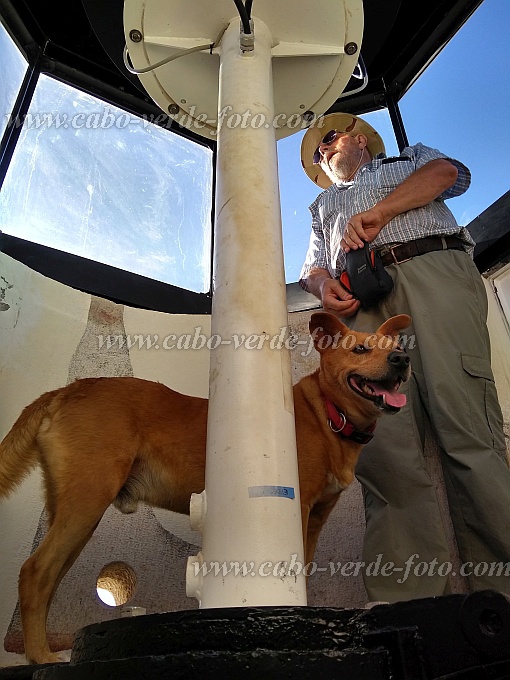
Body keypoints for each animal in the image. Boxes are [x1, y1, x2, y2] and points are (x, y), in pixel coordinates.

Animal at [0, 314, 410, 664]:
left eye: (394, 344)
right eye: (360, 349)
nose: (402, 359)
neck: (327, 413)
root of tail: (65, 390)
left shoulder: (316, 518)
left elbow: (303, 569)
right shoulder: (300, 507)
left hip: (74, 511)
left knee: (48, 579)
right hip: (87, 500)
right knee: (34, 572)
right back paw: (40, 657)